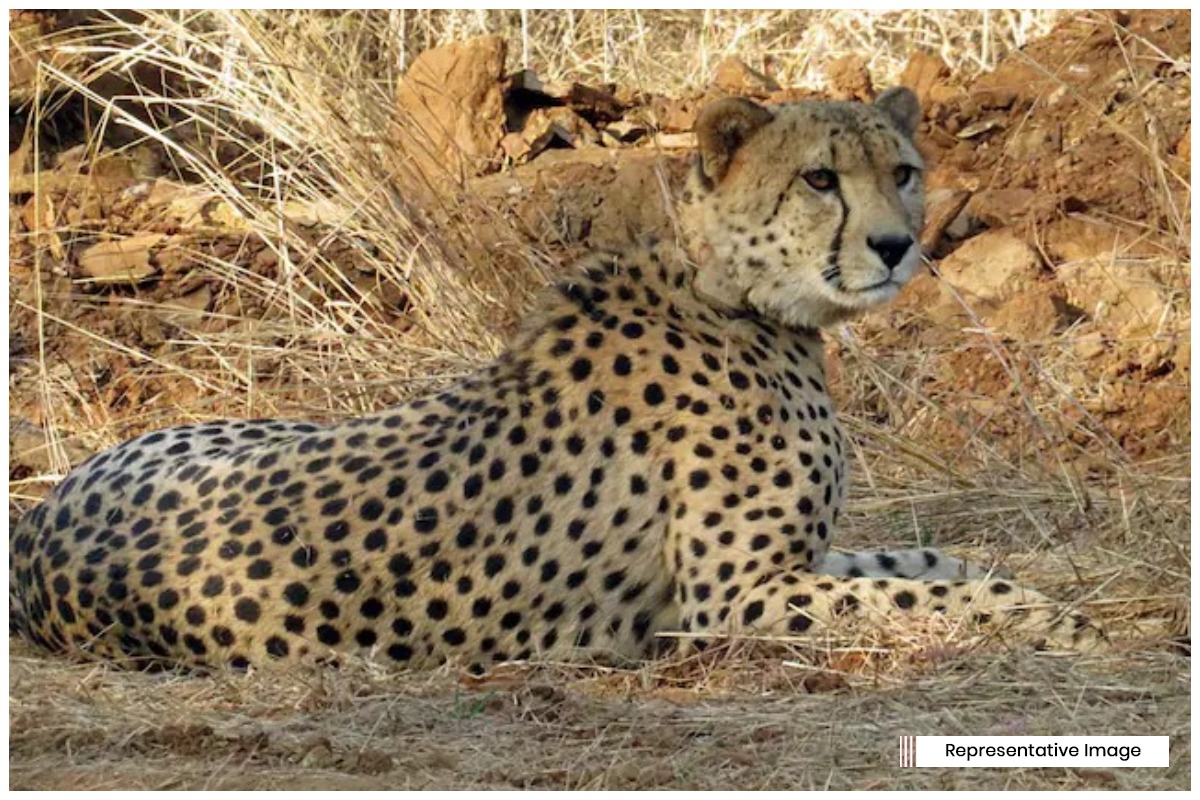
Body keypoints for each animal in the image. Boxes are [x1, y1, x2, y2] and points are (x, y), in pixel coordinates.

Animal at [9, 87, 1104, 674]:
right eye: (820, 180)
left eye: (903, 171)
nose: (895, 245)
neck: (738, 295)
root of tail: (42, 520)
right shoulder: (729, 598)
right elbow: (916, 598)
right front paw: (1048, 619)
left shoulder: (795, 560)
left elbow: (927, 562)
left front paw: (1032, 594)